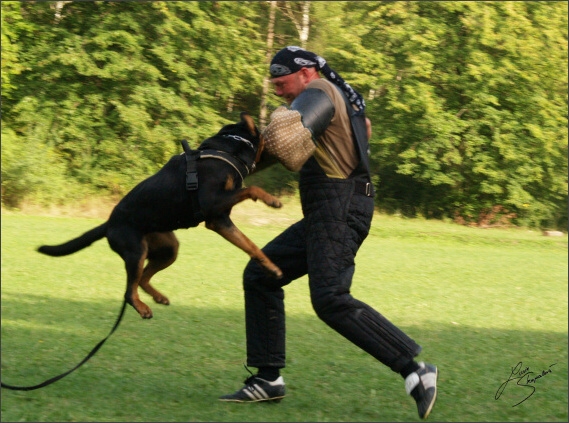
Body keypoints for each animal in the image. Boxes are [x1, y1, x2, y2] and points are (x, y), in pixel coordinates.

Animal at [37, 112, 282, 318]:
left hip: (168, 248)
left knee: (143, 279)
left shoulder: (220, 220)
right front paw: (271, 200)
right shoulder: (214, 208)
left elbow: (250, 245)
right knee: (129, 291)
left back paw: (158, 297)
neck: (228, 148)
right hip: (136, 251)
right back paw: (142, 308)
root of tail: (108, 224)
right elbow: (251, 191)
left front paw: (270, 266)